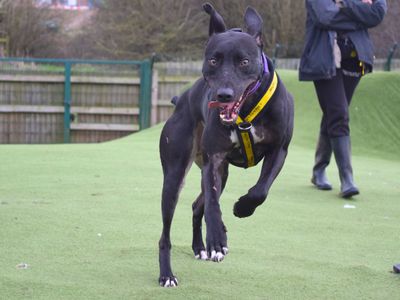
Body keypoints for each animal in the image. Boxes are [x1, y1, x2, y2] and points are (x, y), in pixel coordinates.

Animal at [158, 2, 292, 288]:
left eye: (244, 61)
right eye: (213, 60)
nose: (224, 95)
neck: (247, 111)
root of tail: (180, 100)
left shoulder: (279, 151)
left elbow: (260, 191)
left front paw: (242, 208)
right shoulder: (215, 159)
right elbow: (212, 205)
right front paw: (217, 238)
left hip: (223, 174)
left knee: (197, 205)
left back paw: (200, 248)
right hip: (174, 176)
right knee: (167, 232)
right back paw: (167, 274)